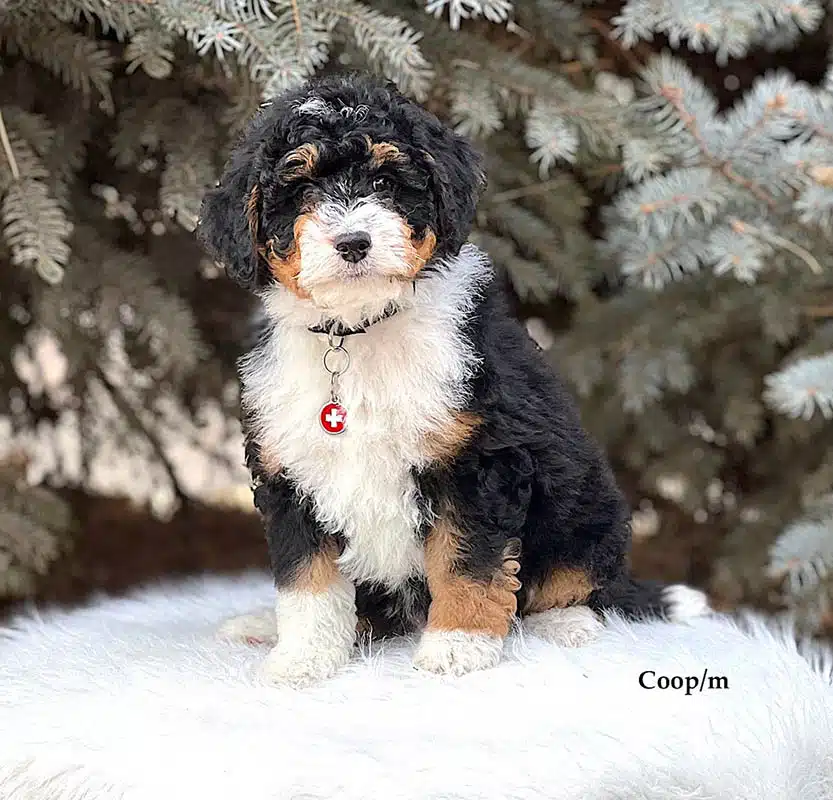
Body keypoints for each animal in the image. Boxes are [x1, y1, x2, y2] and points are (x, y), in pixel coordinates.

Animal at [197, 72, 708, 684]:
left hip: (587, 508)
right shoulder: (290, 470)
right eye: (298, 193)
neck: (359, 332)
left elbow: (467, 561)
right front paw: (302, 658)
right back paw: (262, 625)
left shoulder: (479, 461)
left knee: (583, 581)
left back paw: (567, 624)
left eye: (385, 181)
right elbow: (307, 578)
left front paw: (457, 646)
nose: (353, 243)